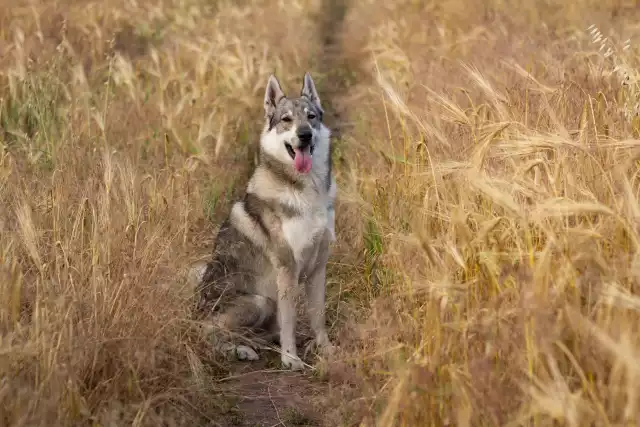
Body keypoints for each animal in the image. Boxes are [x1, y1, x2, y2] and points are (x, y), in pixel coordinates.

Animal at [190, 72, 338, 372]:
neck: (307, 191)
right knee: (210, 335)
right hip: (260, 301)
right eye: (286, 120)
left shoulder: (319, 267)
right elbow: (290, 321)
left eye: (311, 117)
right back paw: (243, 350)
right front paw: (291, 359)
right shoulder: (287, 268)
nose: (304, 135)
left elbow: (318, 317)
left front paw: (325, 351)